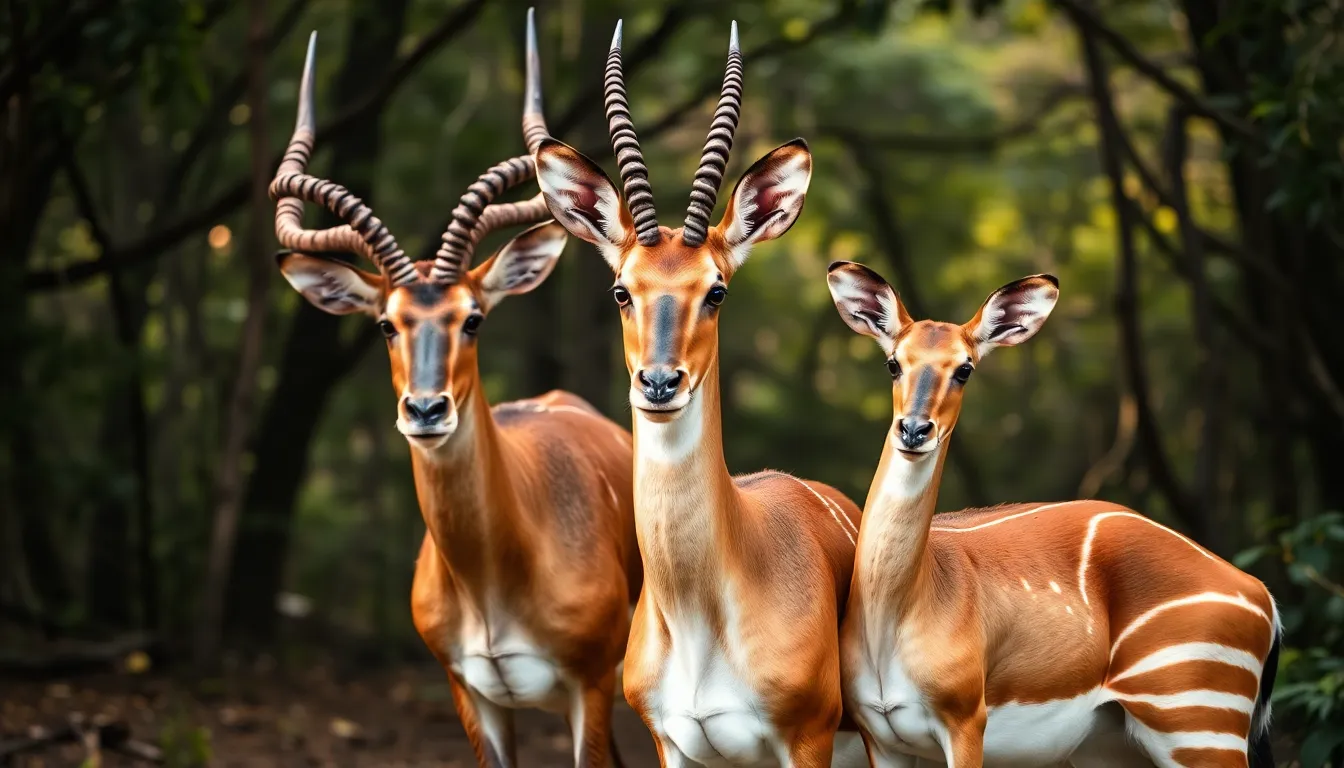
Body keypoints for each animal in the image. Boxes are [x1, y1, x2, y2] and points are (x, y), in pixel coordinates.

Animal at [269, 14, 642, 767]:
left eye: (473, 317)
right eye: (386, 323)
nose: (425, 409)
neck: (493, 579)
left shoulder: (588, 687)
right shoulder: (470, 693)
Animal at [824, 260, 1280, 768]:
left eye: (965, 368)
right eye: (893, 363)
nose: (915, 430)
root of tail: (1264, 599)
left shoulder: (966, 717)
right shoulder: (882, 734)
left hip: (1198, 715)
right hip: (1123, 742)